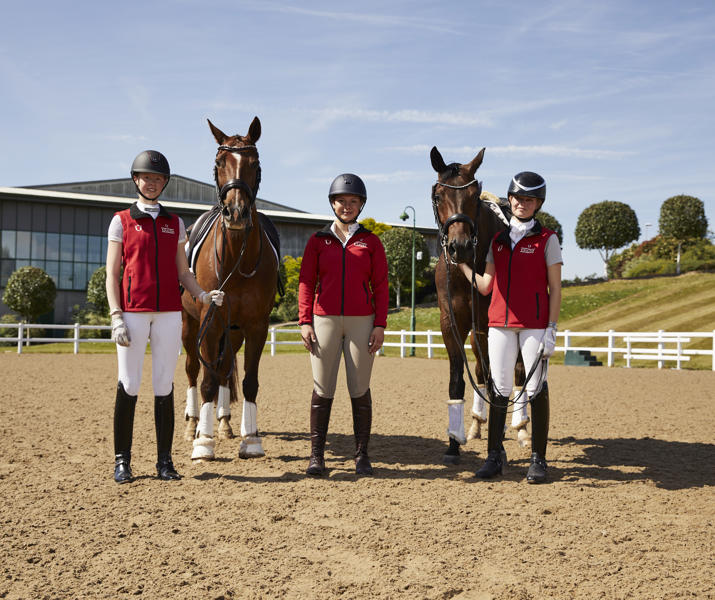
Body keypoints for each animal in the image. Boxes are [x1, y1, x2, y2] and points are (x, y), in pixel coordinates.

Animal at [183, 117, 278, 462]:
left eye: (255, 164)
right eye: (219, 163)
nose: (235, 213)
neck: (236, 258)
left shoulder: (255, 326)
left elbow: (248, 381)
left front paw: (251, 440)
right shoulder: (209, 323)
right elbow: (207, 381)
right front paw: (203, 443)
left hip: (233, 331)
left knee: (224, 369)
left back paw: (223, 422)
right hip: (190, 326)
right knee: (194, 370)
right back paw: (194, 425)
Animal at [430, 145, 524, 464]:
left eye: (473, 194)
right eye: (438, 195)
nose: (459, 247)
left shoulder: (490, 325)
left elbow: (500, 380)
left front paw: (499, 448)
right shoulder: (452, 324)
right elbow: (458, 381)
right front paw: (453, 444)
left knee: (517, 372)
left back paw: (520, 428)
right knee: (484, 373)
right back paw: (478, 425)